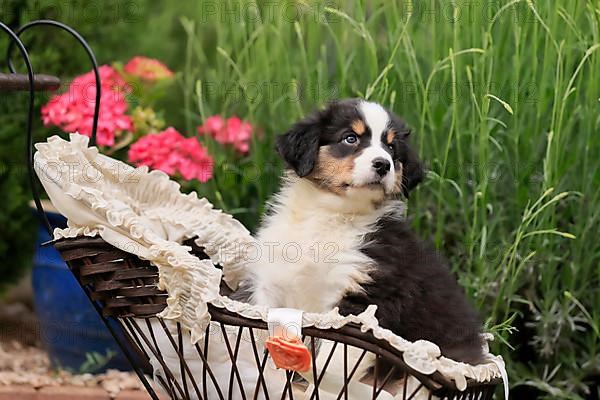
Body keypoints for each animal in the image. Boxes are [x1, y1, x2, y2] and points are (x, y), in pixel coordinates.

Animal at [241, 99, 486, 368]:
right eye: (350, 138)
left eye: (391, 147)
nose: (383, 164)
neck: (332, 214)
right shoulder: (270, 284)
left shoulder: (366, 298)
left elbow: (334, 358)